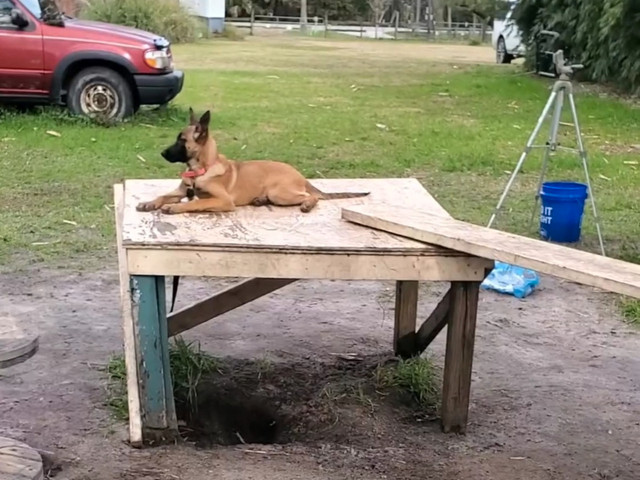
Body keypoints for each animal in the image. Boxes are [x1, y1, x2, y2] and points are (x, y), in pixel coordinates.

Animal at [135, 109, 370, 216]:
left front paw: (175, 207)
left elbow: (196, 202)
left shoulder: (223, 200)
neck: (201, 169)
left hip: (280, 192)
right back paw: (260, 199)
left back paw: (306, 204)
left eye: (181, 141)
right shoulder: (181, 190)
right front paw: (150, 203)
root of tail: (301, 176)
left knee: (311, 196)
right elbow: (164, 195)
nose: (162, 153)